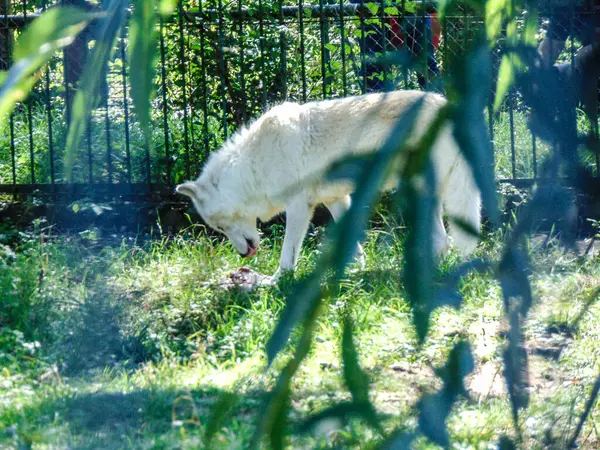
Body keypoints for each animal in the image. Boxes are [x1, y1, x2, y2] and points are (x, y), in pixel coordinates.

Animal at [176, 90, 480, 280]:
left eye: (220, 226)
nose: (243, 255)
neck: (253, 165)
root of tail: (446, 105)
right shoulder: (336, 200)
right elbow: (352, 244)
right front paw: (354, 273)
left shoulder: (299, 206)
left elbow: (288, 253)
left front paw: (277, 280)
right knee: (443, 241)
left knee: (443, 240)